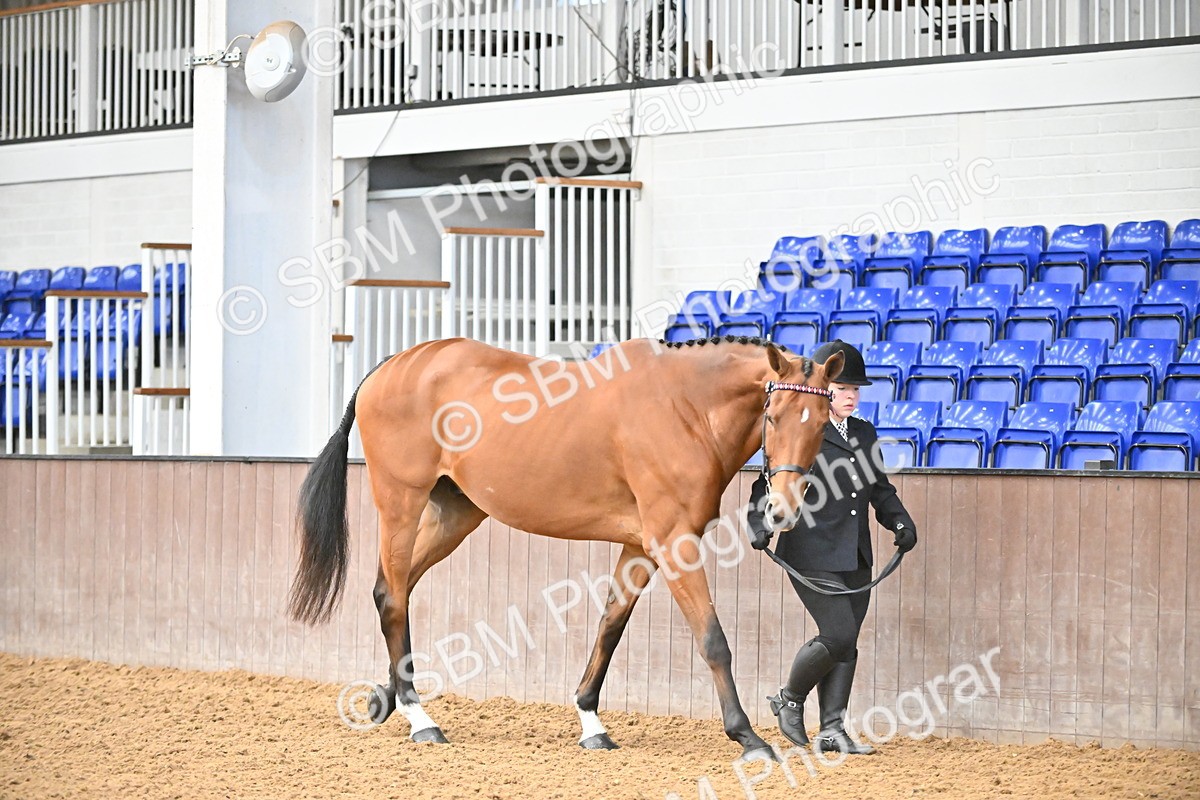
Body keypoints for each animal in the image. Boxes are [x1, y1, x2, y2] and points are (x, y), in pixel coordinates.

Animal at [288, 334, 844, 761]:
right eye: (774, 416)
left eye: (821, 423)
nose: (782, 512)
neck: (684, 408)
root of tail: (392, 364)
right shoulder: (674, 543)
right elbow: (712, 639)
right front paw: (748, 736)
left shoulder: (640, 547)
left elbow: (610, 627)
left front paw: (591, 722)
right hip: (401, 504)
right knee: (393, 598)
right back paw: (420, 718)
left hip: (456, 514)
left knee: (393, 589)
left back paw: (390, 700)